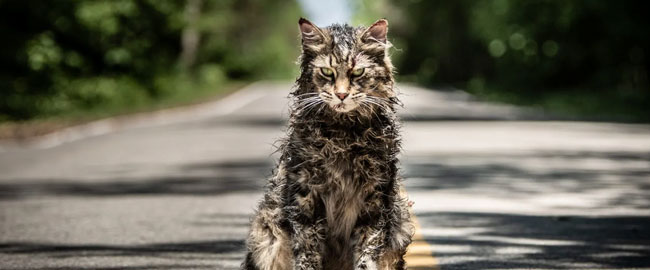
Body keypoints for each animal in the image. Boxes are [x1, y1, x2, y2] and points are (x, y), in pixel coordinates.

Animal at [240, 18, 412, 270]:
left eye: (357, 72)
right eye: (327, 72)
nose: (341, 95)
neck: (343, 135)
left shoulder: (375, 197)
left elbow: (368, 248)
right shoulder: (305, 196)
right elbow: (307, 250)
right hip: (265, 235)